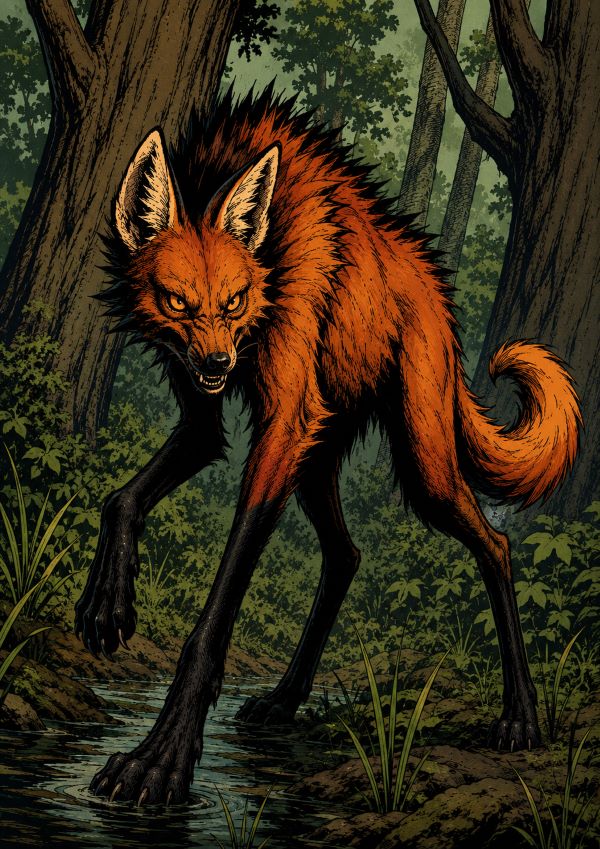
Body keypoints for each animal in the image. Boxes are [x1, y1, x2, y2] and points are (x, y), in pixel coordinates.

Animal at [75, 89, 580, 805]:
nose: (218, 362)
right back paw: (285, 698)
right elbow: (120, 499)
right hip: (319, 458)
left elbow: (211, 622)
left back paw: (521, 717)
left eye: (235, 302)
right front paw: (106, 605)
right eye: (178, 302)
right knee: (346, 555)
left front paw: (161, 759)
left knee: (495, 542)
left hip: (419, 464)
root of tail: (438, 292)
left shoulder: (282, 425)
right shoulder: (208, 419)